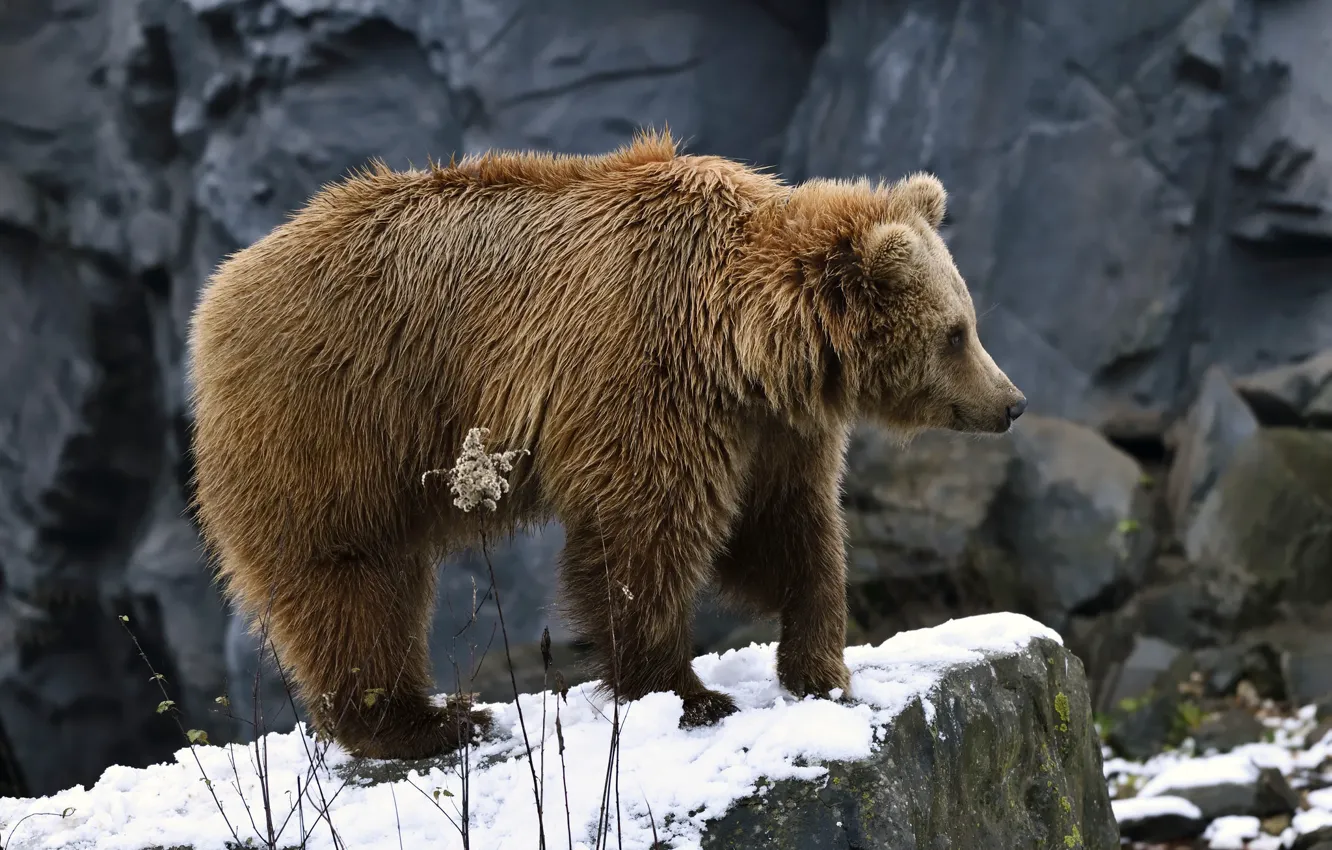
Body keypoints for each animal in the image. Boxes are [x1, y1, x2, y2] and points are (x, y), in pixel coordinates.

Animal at [186, 130, 1027, 760]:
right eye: (957, 332)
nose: (1012, 402)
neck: (745, 340)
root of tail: (217, 295)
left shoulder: (768, 429)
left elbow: (787, 534)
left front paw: (821, 666)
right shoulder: (647, 371)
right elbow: (643, 535)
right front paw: (691, 692)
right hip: (339, 413)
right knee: (350, 573)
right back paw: (423, 720)